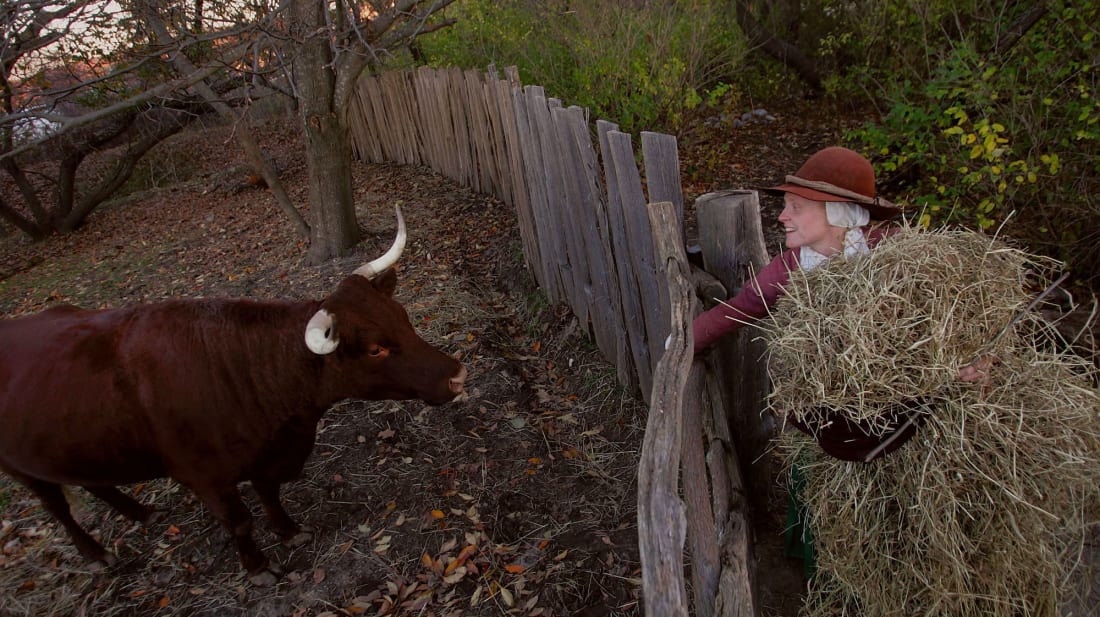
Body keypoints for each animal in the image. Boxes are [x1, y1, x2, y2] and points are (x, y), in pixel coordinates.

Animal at [0, 205, 464, 580]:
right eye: (374, 349)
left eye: (402, 316)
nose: (457, 375)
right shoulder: (205, 478)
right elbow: (239, 520)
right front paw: (258, 567)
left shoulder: (269, 456)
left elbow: (269, 494)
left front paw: (289, 531)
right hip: (21, 468)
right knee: (57, 507)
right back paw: (96, 554)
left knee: (94, 482)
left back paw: (140, 511)